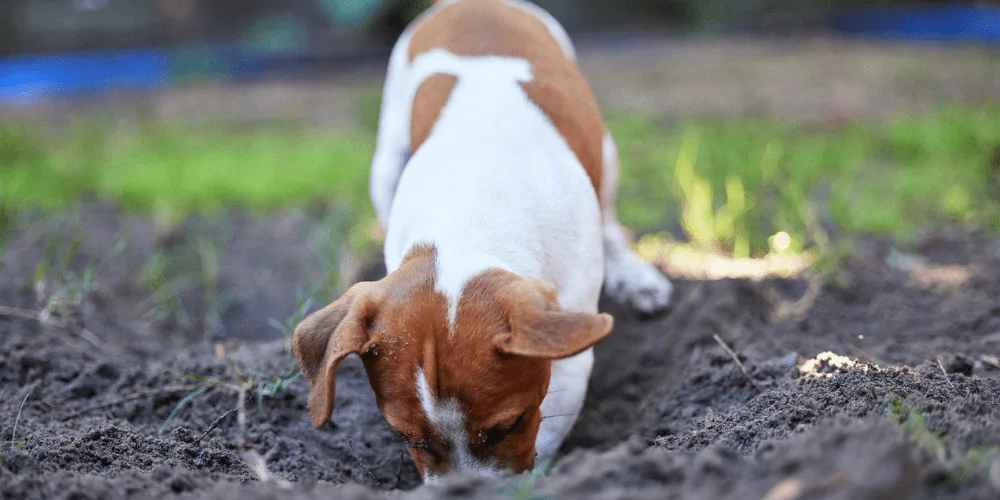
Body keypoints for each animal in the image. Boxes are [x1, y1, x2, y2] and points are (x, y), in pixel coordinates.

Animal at [292, 0, 676, 484]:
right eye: (409, 439)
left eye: (509, 426)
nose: (465, 492)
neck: (469, 212)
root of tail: (468, 4)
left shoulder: (569, 358)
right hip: (385, 164)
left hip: (606, 154)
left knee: (610, 216)